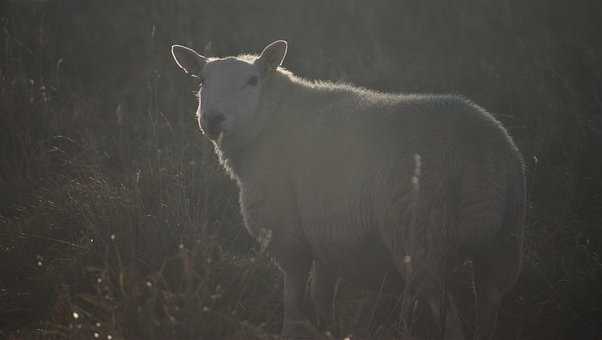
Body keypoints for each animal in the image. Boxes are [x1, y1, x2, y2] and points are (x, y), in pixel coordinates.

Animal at [171, 40, 524, 340]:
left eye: (252, 81)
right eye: (201, 81)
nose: (212, 119)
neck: (271, 119)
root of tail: (484, 157)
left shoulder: (290, 238)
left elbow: (293, 305)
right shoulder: (327, 236)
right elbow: (322, 297)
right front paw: (327, 329)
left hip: (424, 241)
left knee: (449, 322)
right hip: (502, 246)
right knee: (488, 307)